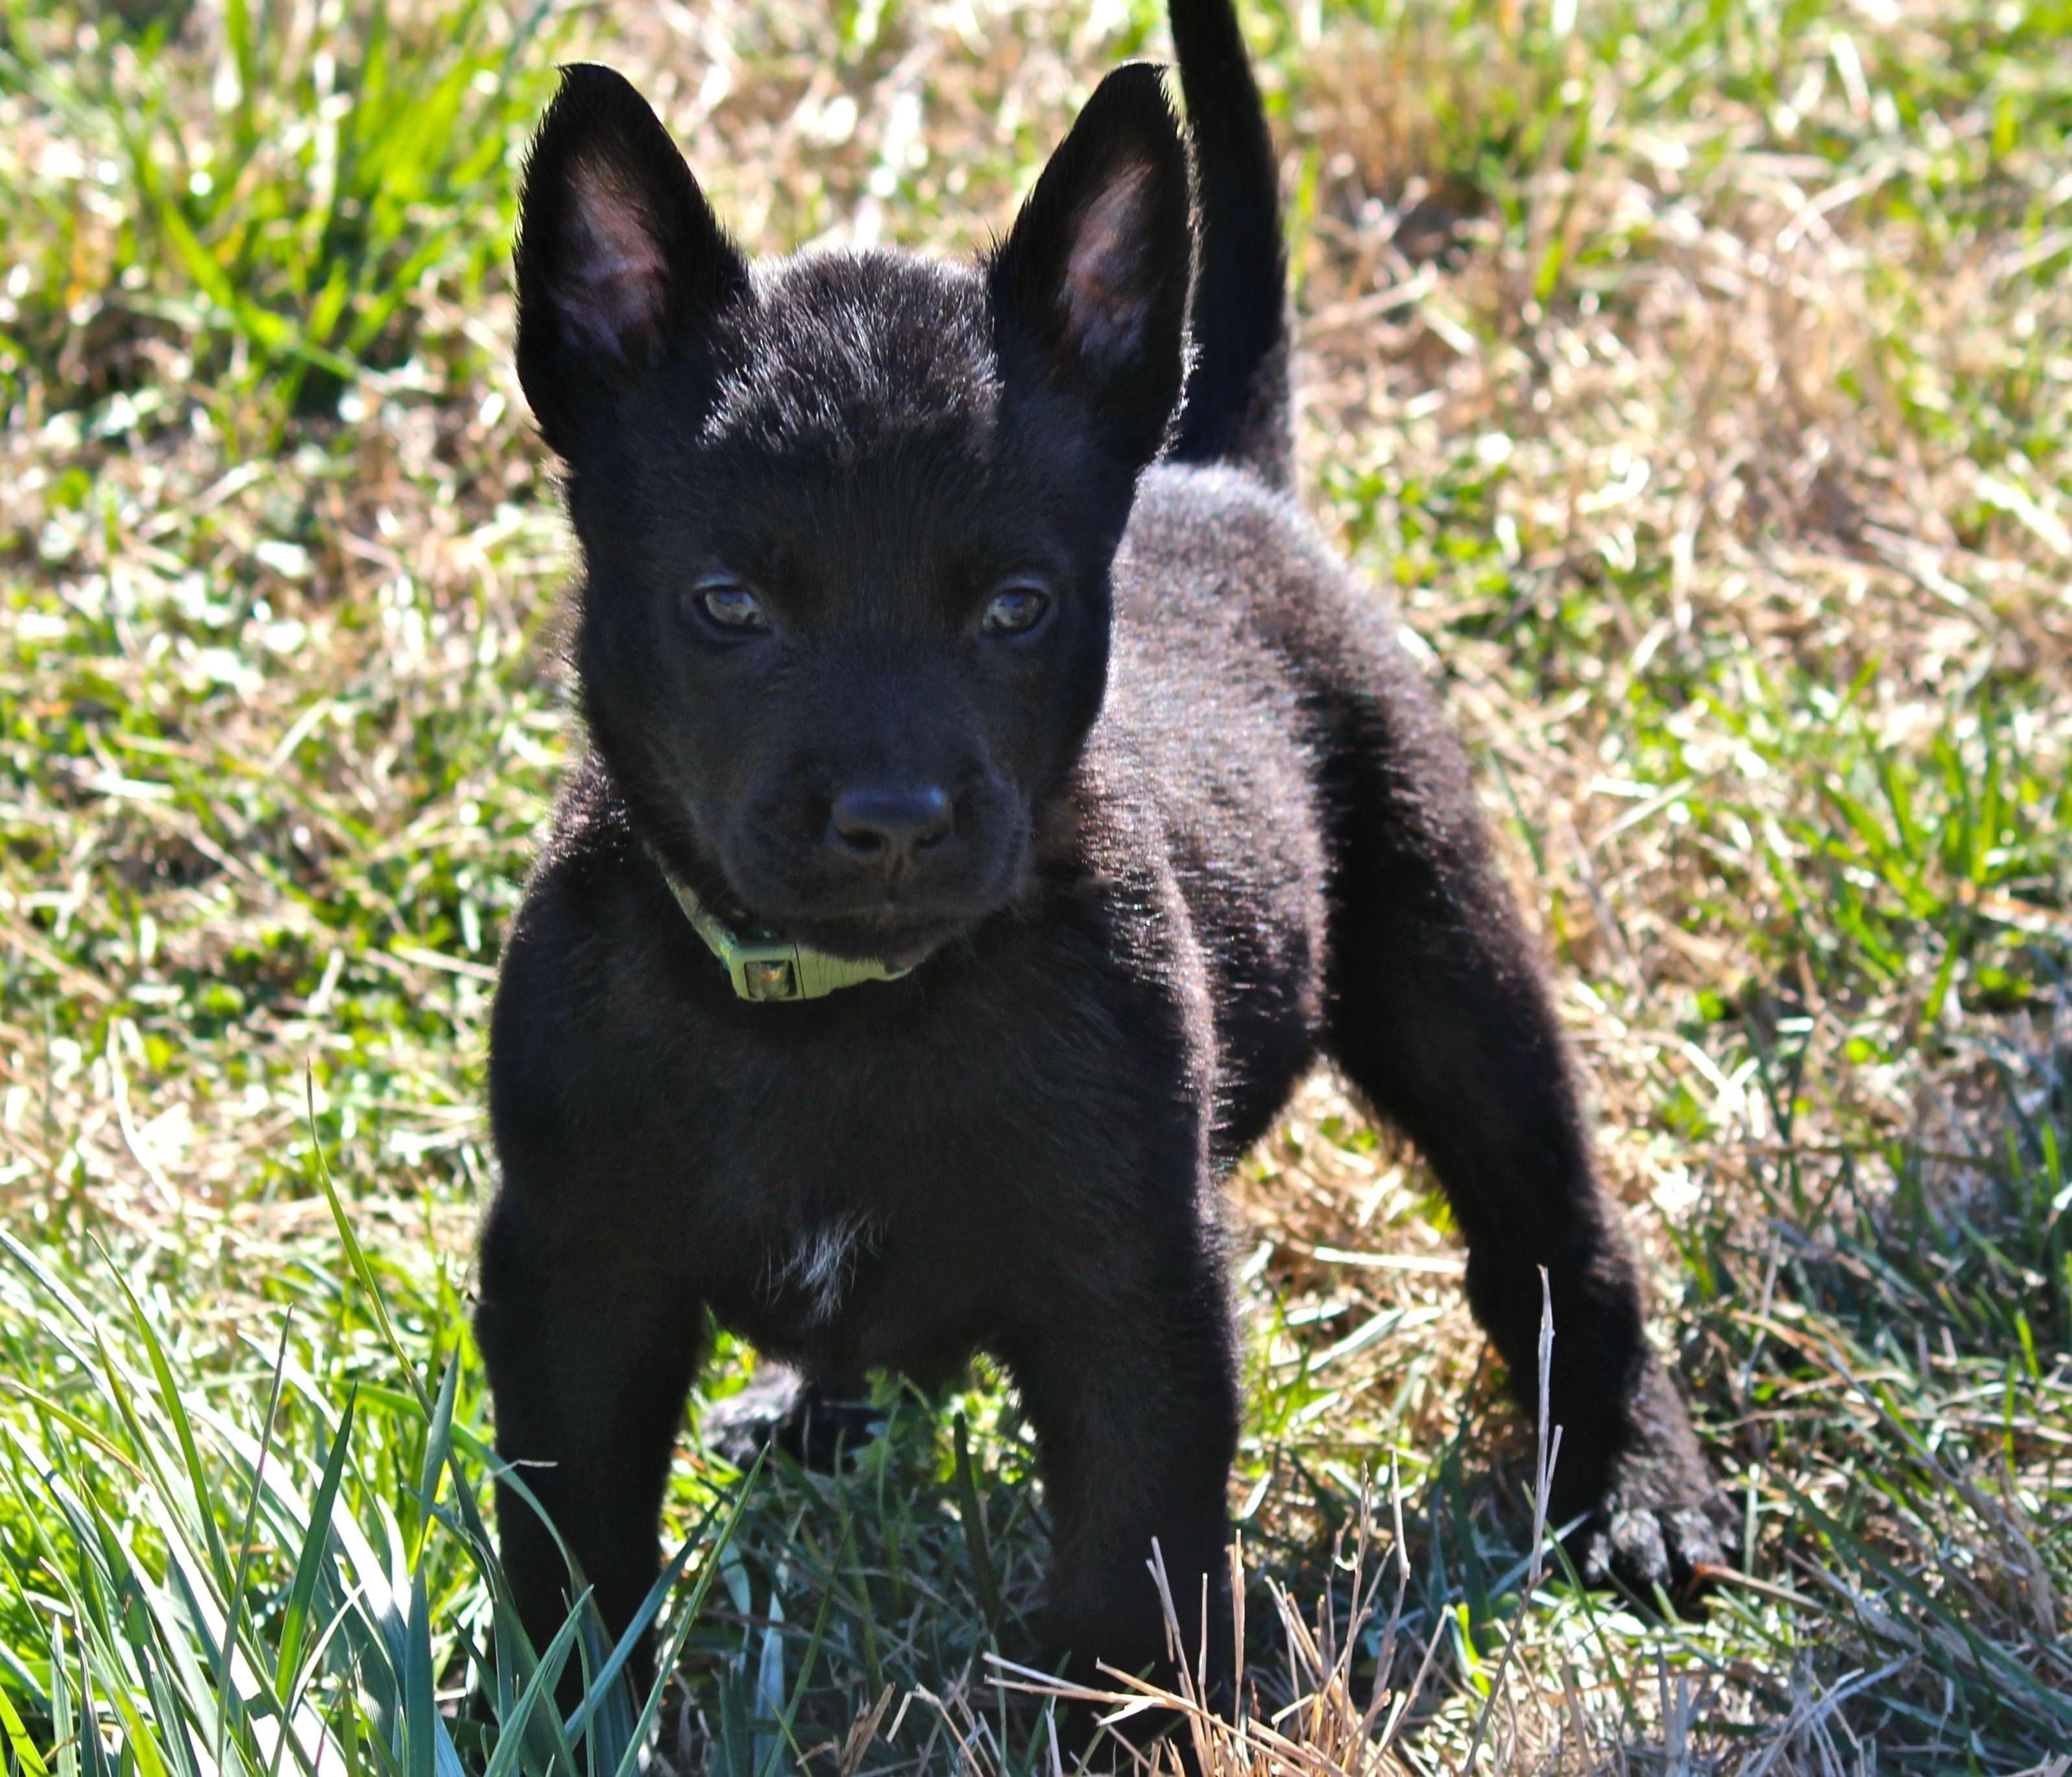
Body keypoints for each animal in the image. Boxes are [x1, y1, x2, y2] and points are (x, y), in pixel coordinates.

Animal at [476, 0, 1724, 1723]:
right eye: (729, 605)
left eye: (1016, 606)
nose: (893, 818)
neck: (845, 1013)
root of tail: (1219, 471)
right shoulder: (569, 1278)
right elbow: (573, 1561)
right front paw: (561, 1715)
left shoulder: (1138, 1289)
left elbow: (1128, 1572)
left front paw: (1098, 1727)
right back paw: (810, 1405)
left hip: (1448, 966)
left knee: (1554, 1239)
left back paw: (1639, 1484)